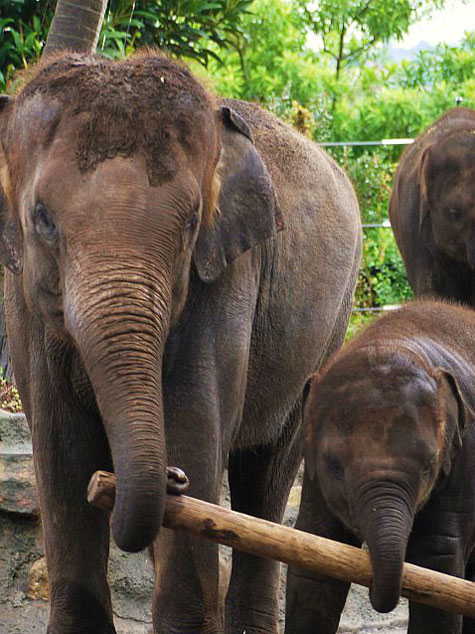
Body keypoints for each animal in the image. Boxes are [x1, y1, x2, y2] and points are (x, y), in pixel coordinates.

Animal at [0, 51, 362, 628]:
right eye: (42, 220)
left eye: (192, 221)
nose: (173, 479)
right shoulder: (22, 304)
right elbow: (61, 452)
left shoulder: (224, 277)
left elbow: (193, 425)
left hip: (330, 325)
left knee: (267, 473)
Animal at [288, 300, 475, 632]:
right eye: (335, 467)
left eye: (428, 468)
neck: (390, 341)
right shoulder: (312, 474)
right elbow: (316, 561)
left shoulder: (463, 460)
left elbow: (437, 561)